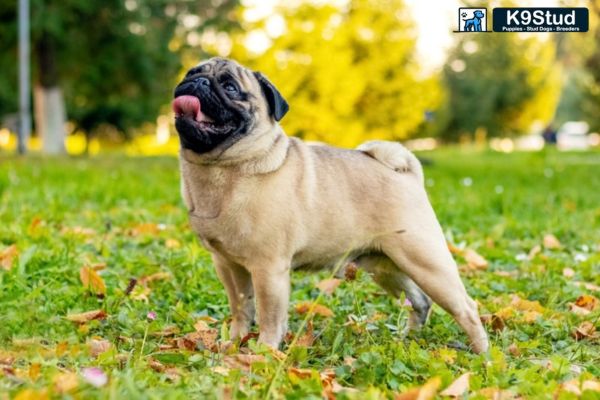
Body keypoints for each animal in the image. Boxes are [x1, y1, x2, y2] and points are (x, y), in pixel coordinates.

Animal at [172, 57, 488, 354]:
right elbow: (241, 308)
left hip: (425, 261)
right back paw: (408, 338)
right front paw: (234, 343)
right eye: (190, 73)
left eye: (230, 87)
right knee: (419, 301)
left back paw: (482, 355)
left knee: (466, 308)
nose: (197, 82)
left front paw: (263, 352)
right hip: (385, 265)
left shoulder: (268, 269)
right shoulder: (227, 263)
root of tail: (405, 173)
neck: (223, 169)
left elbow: (269, 316)